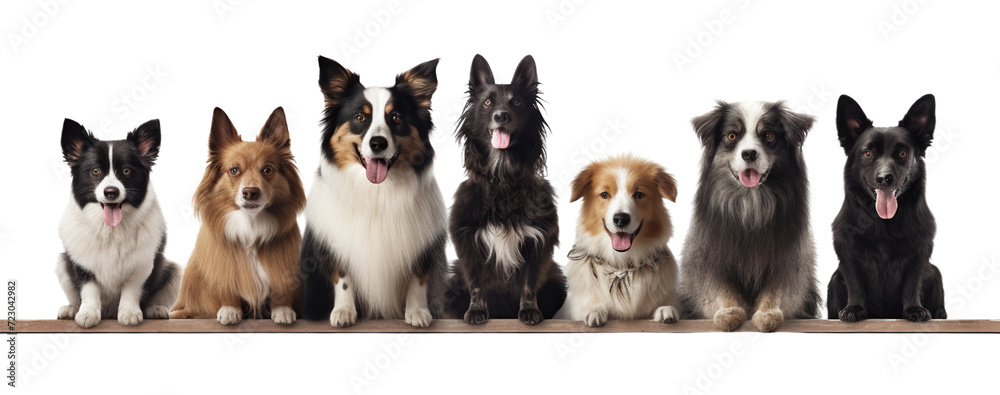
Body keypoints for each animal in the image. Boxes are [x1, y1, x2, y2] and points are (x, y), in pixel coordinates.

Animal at [171, 107, 304, 324]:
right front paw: (230, 309)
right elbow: (227, 286)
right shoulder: (222, 264)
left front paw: (283, 309)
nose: (250, 192)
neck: (251, 223)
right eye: (234, 170)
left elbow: (281, 288)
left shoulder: (283, 261)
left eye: (267, 170)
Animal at [450, 55, 568, 328]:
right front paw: (476, 312)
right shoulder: (468, 243)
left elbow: (529, 284)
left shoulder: (538, 243)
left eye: (516, 102)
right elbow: (476, 284)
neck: (502, 179)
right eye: (487, 102)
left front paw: (530, 312)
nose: (501, 116)